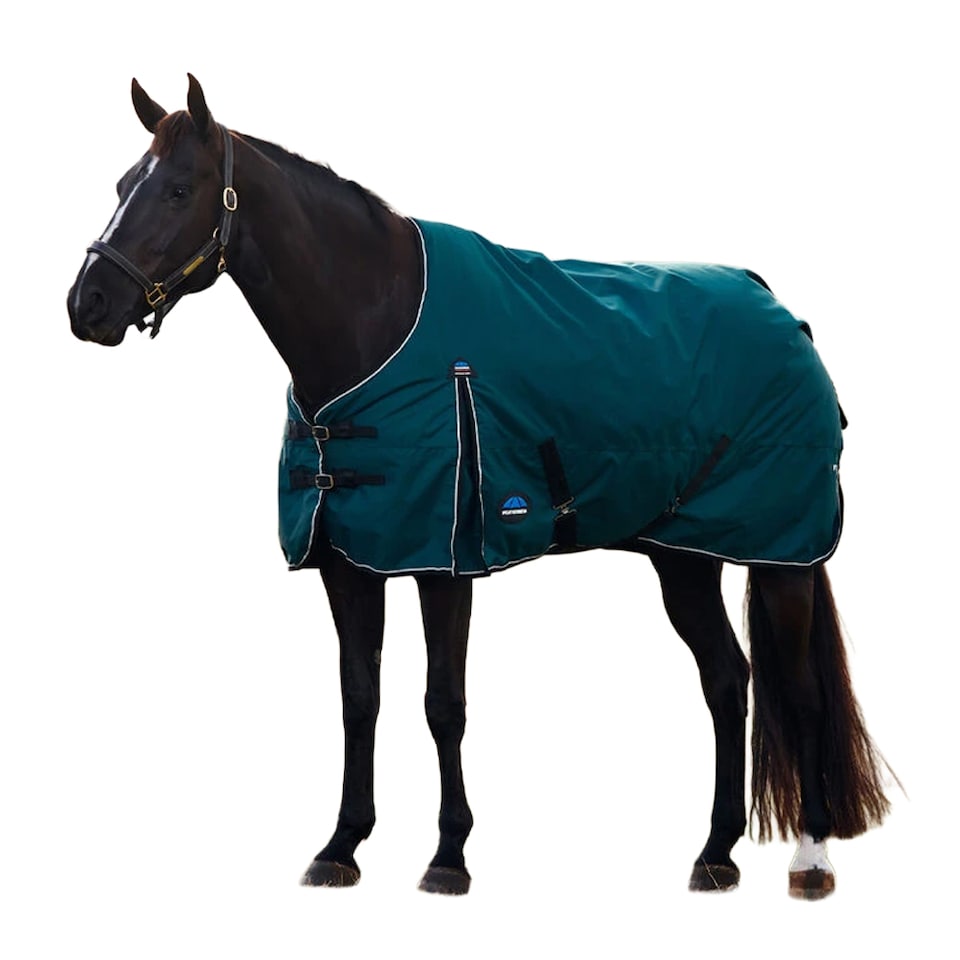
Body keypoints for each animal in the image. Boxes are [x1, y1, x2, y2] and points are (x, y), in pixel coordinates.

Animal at [67, 75, 891, 899]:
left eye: (179, 188)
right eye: (121, 185)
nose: (88, 305)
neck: (376, 323)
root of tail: (780, 310)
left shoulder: (445, 560)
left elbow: (444, 703)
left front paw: (448, 856)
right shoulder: (349, 561)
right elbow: (359, 698)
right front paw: (341, 846)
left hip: (781, 555)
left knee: (801, 692)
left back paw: (810, 857)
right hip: (683, 556)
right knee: (727, 680)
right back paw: (715, 853)